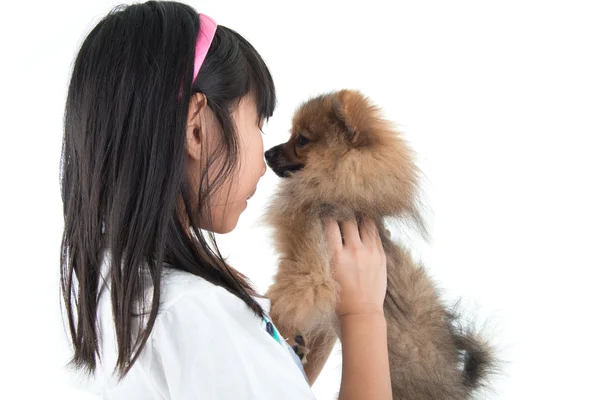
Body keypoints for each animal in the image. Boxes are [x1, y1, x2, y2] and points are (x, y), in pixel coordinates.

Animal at [262, 90, 492, 400]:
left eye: (302, 139)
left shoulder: (309, 269)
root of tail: (460, 384)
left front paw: (278, 325)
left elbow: (280, 299)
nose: (266, 153)